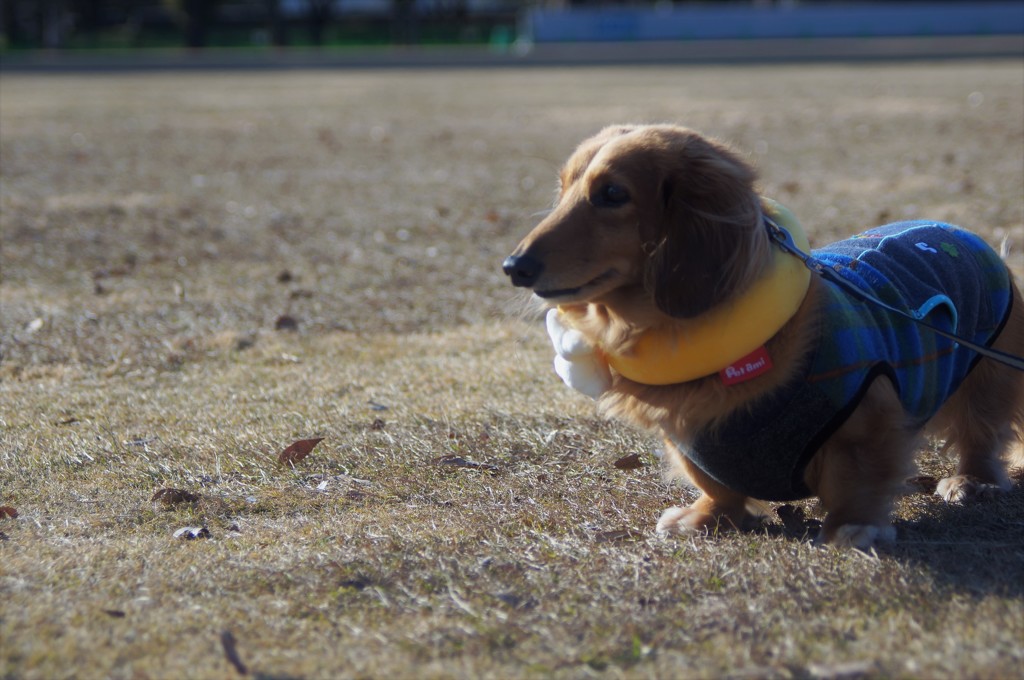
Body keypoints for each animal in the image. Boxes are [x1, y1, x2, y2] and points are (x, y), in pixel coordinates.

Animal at [501, 123, 1024, 548]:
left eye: (612, 193)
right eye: (563, 189)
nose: (513, 267)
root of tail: (963, 232)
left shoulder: (868, 419)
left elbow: (857, 480)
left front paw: (853, 527)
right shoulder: (689, 443)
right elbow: (714, 485)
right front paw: (705, 517)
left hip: (987, 377)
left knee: (981, 433)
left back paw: (972, 481)